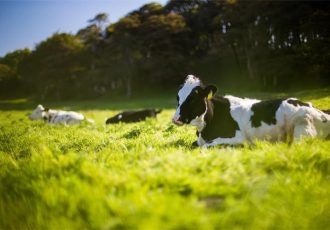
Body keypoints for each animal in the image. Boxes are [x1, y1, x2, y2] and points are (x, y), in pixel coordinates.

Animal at [173, 75, 330, 147]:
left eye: (193, 97)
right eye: (178, 97)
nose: (175, 119)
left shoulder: (237, 138)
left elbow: (205, 146)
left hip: (302, 127)